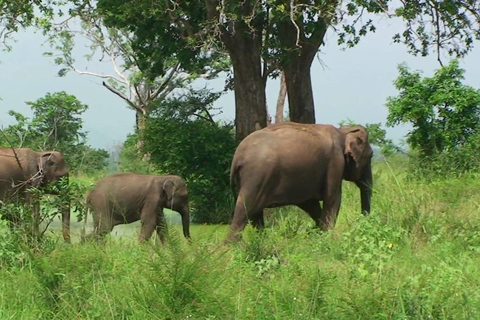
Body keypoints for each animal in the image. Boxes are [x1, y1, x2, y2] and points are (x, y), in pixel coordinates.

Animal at [227, 122, 374, 242]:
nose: (362, 221)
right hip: (257, 176)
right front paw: (326, 239)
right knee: (245, 210)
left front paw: (318, 233)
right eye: (371, 156)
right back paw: (231, 248)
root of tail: (237, 156)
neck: (343, 131)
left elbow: (310, 203)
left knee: (254, 214)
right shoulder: (335, 163)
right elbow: (333, 199)